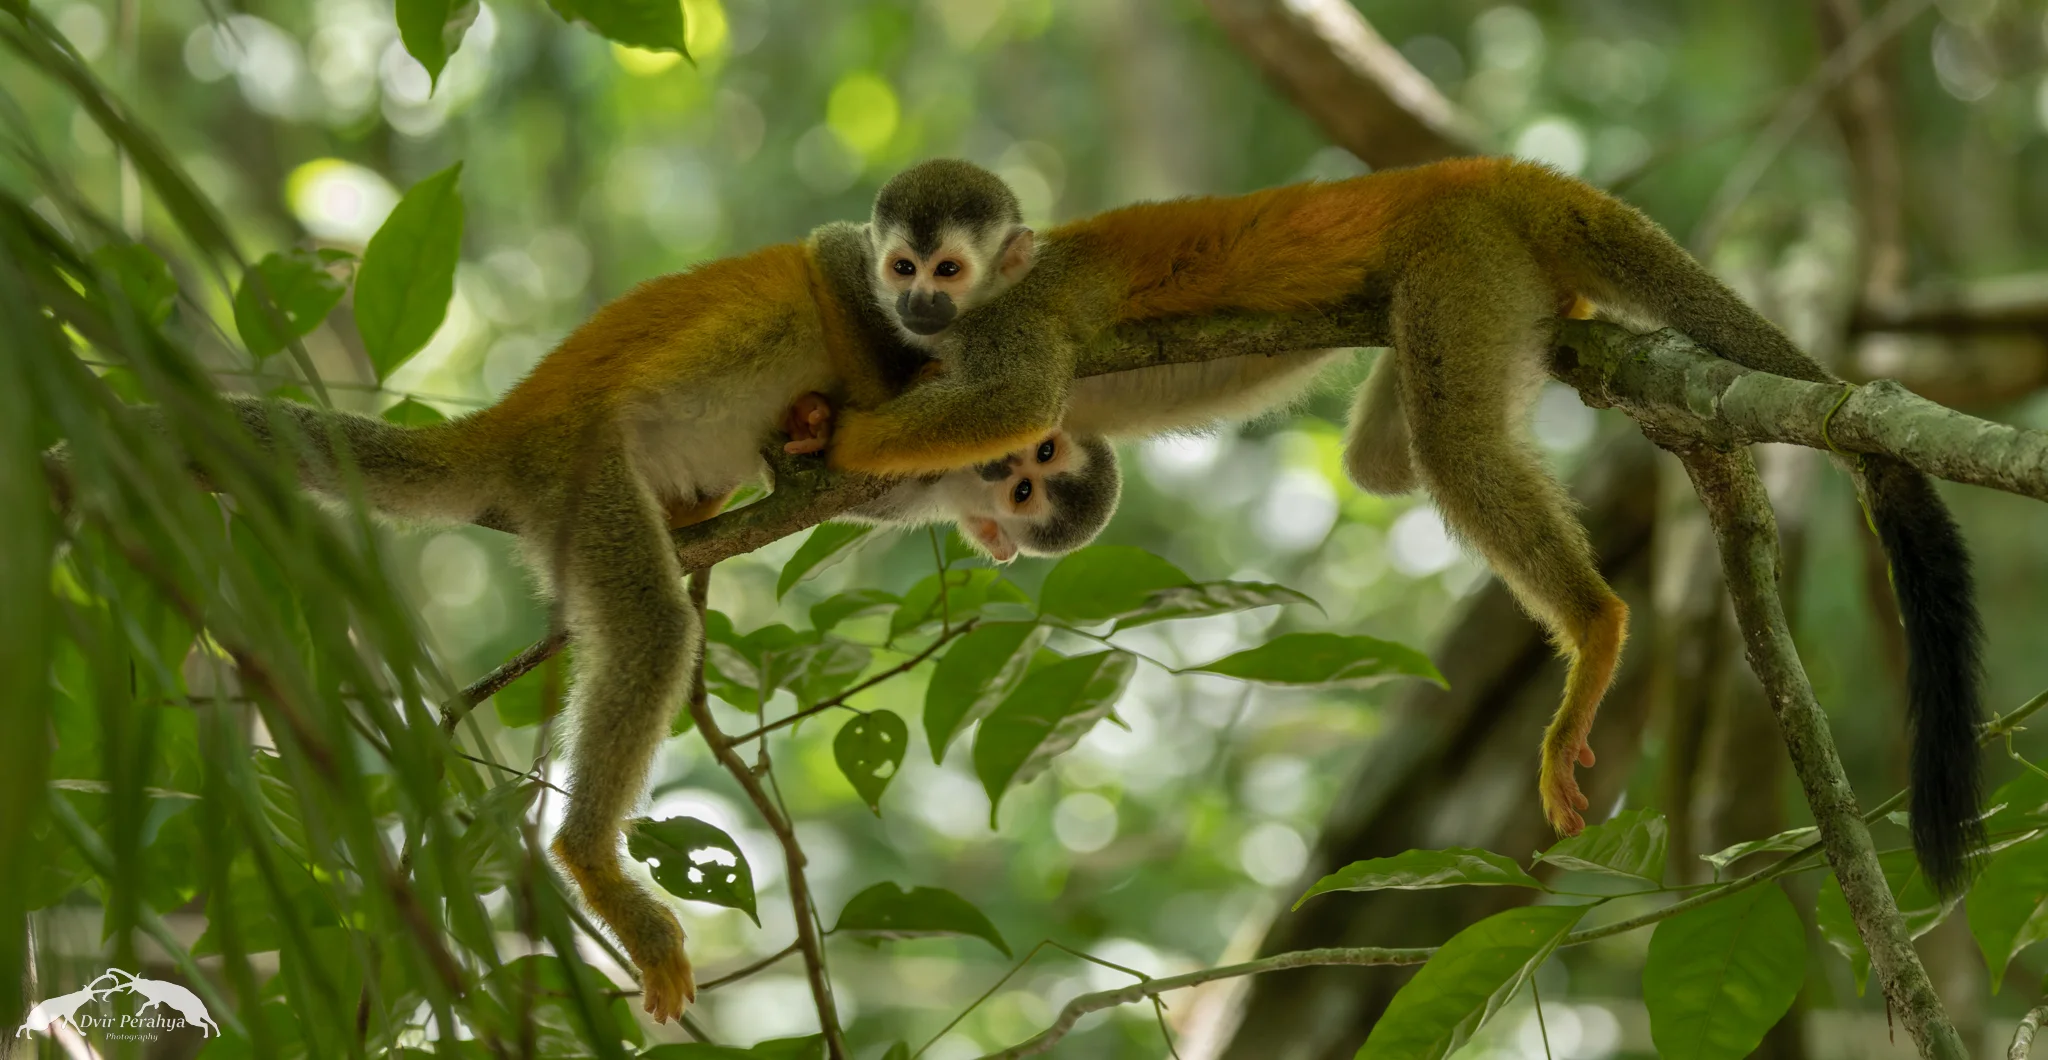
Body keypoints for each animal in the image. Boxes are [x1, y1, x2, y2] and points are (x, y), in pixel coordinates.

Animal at [823, 157, 1984, 893]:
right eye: (900, 268)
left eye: (946, 270)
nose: (917, 308)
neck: (975, 313)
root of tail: (1480, 170)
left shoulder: (1014, 325)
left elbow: (1017, 403)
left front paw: (844, 441)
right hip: (1487, 286)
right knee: (1390, 456)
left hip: (1459, 259)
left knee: (1450, 450)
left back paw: (1595, 626)